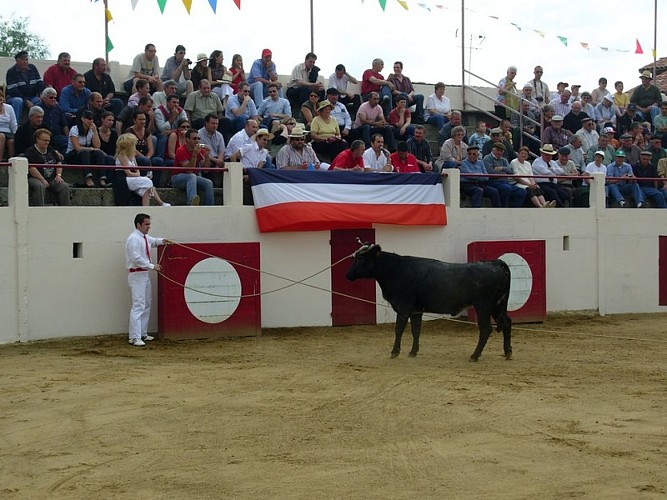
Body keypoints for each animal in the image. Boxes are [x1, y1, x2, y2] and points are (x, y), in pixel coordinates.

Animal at [348, 244, 516, 362]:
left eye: (361, 259)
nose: (348, 274)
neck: (396, 270)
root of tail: (495, 263)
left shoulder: (403, 308)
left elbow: (399, 329)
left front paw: (394, 352)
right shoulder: (416, 311)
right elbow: (416, 330)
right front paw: (413, 352)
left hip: (484, 307)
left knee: (486, 329)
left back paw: (474, 356)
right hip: (497, 306)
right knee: (506, 323)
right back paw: (507, 352)